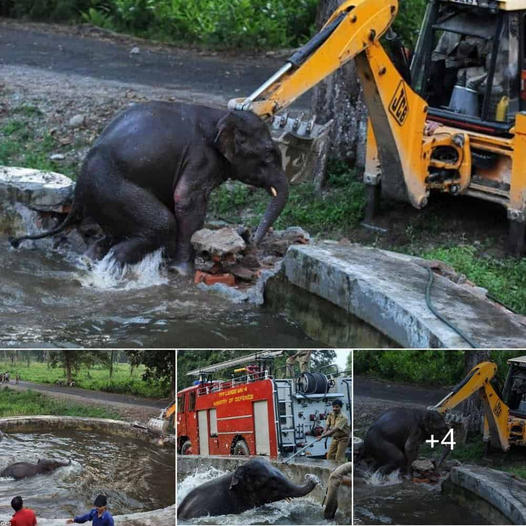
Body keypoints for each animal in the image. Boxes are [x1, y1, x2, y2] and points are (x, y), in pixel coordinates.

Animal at [10, 102, 290, 276]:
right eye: (269, 154)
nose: (252, 241)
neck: (221, 114)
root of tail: (78, 190)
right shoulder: (201, 159)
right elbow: (186, 200)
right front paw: (182, 272)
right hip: (114, 188)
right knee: (160, 225)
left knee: (113, 235)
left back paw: (91, 261)